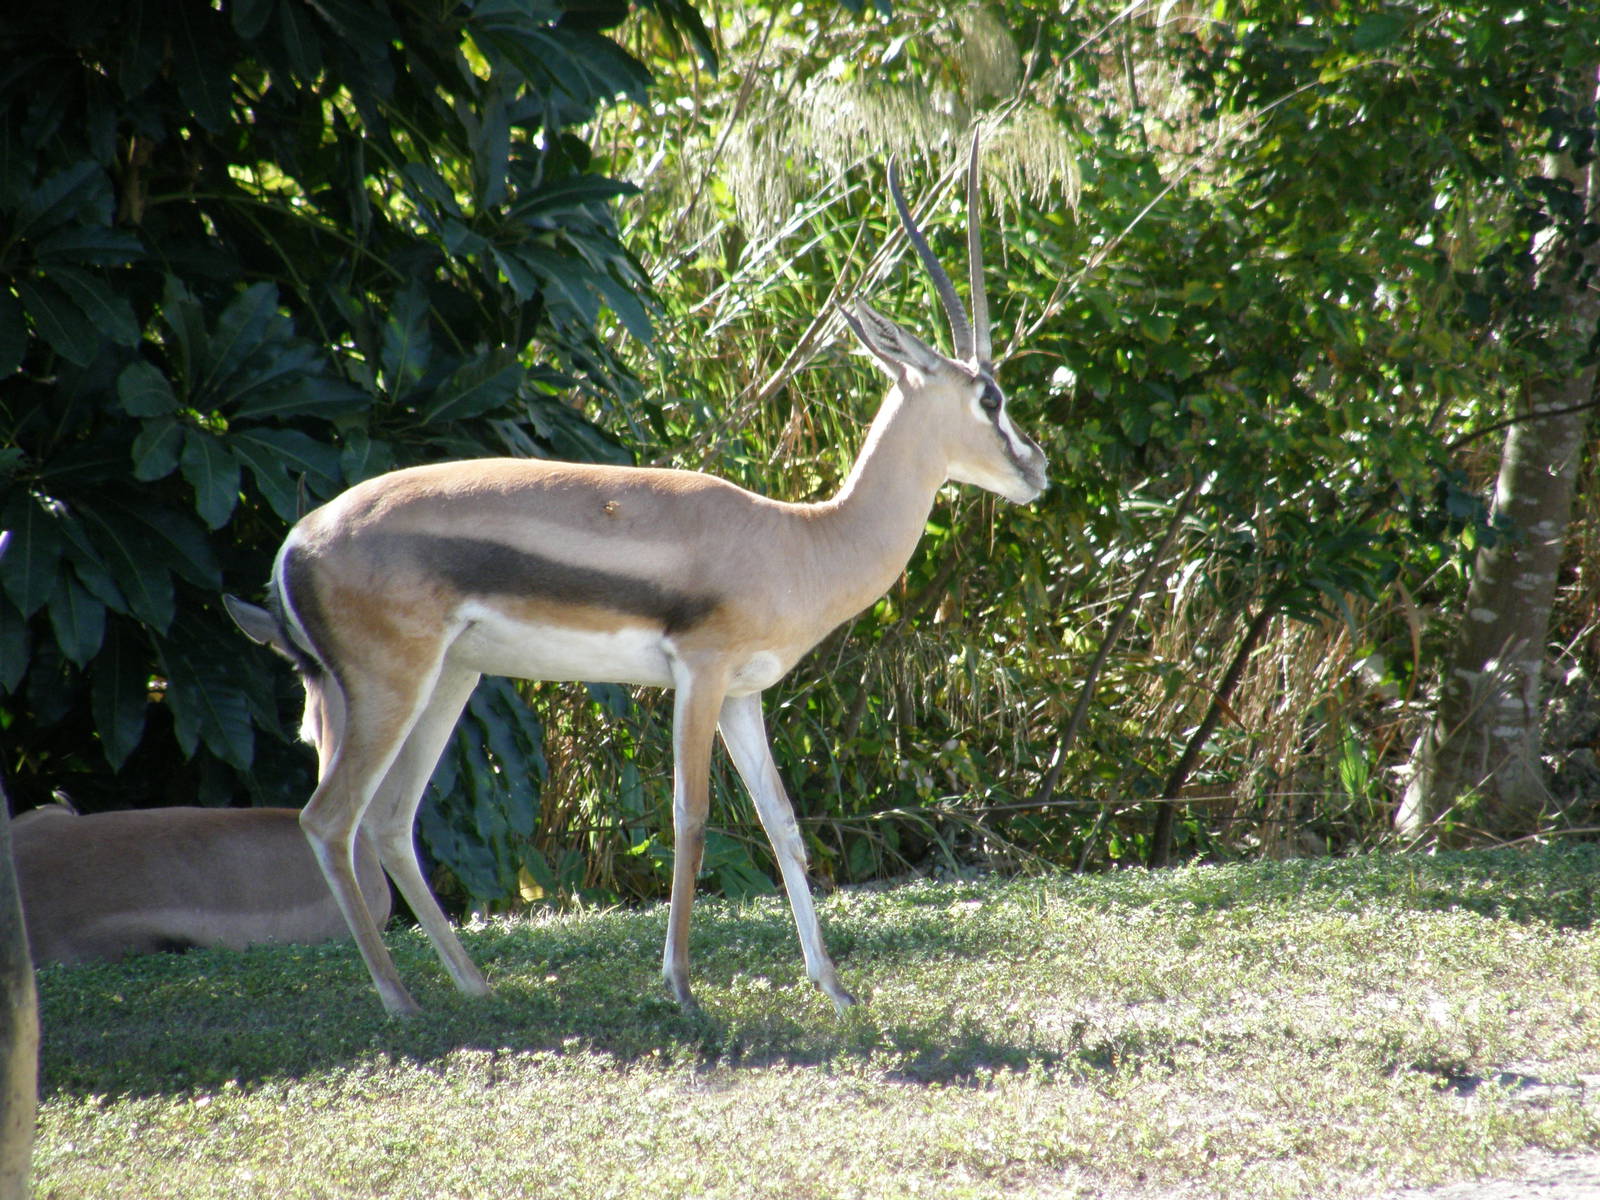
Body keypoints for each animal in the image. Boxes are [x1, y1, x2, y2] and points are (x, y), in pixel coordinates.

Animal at [224, 134, 1048, 1017]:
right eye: (991, 397)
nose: (1036, 468)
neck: (800, 539)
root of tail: (296, 543)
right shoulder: (700, 674)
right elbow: (690, 818)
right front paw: (682, 987)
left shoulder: (744, 695)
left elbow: (783, 823)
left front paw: (834, 989)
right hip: (391, 687)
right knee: (328, 819)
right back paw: (402, 1002)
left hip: (448, 682)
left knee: (387, 820)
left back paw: (475, 987)